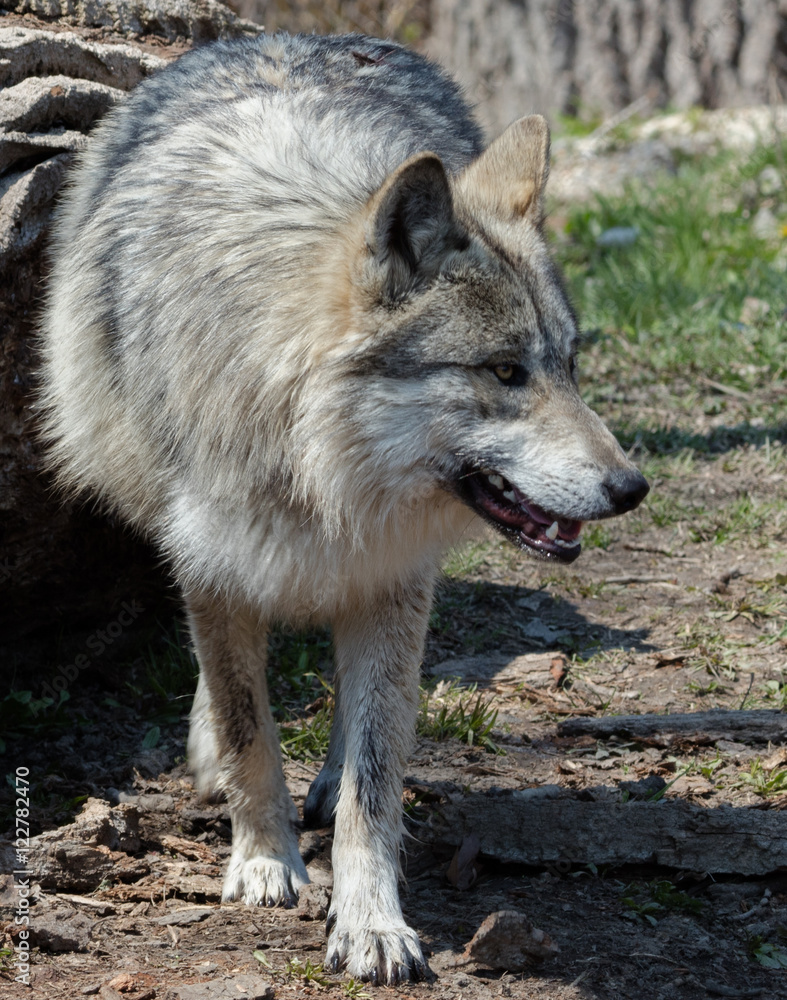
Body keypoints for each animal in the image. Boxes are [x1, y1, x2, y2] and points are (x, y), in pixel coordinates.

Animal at [39, 32, 648, 985]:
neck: (319, 467)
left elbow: (375, 773)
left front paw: (370, 921)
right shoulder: (213, 563)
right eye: (504, 371)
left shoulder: (391, 575)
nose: (631, 489)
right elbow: (248, 726)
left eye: (569, 365)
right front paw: (262, 860)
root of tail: (285, 37)